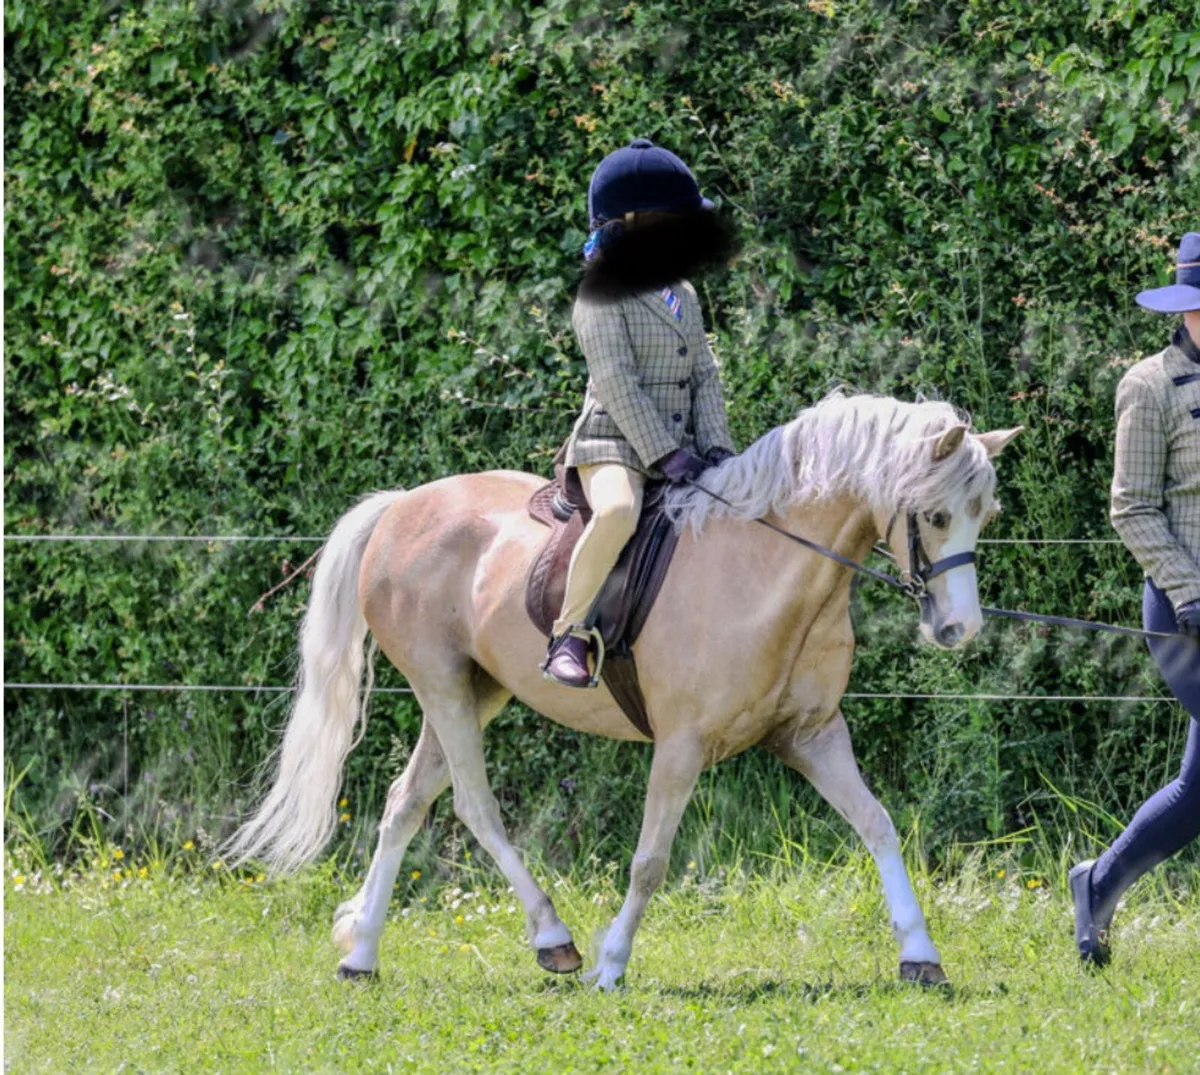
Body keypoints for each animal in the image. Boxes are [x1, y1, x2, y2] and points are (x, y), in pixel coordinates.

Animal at [226, 391, 1021, 989]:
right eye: (937, 514)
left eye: (985, 516)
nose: (960, 628)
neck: (768, 570)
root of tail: (399, 507)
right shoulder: (682, 744)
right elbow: (649, 860)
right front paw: (610, 965)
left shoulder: (812, 735)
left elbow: (878, 824)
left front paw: (920, 954)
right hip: (442, 684)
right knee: (474, 806)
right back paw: (554, 939)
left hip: (475, 690)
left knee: (404, 803)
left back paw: (361, 951)